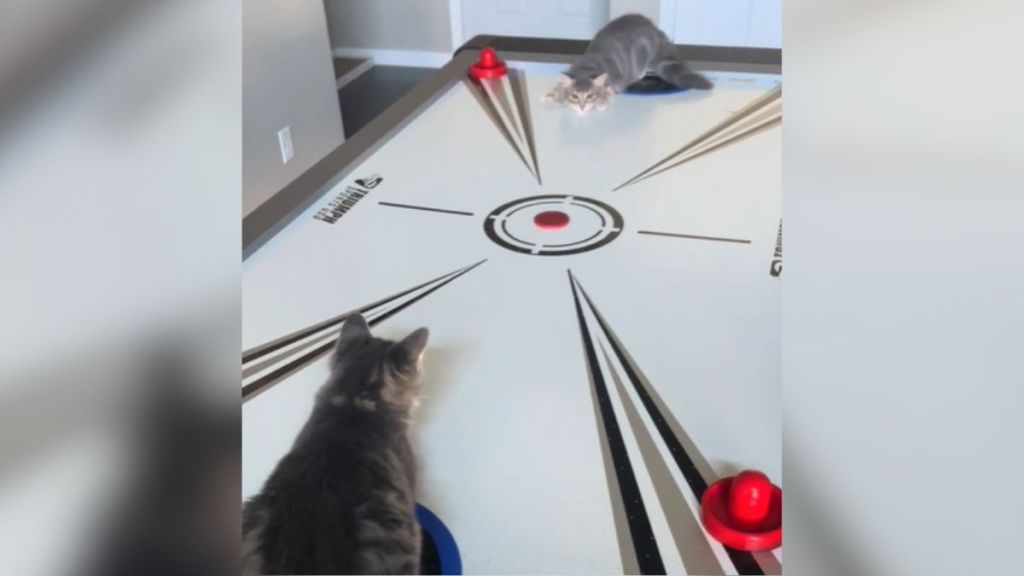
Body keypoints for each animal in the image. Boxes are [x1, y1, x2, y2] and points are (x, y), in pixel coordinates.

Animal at [544, 13, 712, 114]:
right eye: (574, 96)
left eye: (591, 96)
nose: (582, 107)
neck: (587, 66)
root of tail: (656, 30)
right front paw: (551, 94)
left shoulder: (616, 80)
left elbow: (610, 91)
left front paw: (602, 102)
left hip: (642, 49)